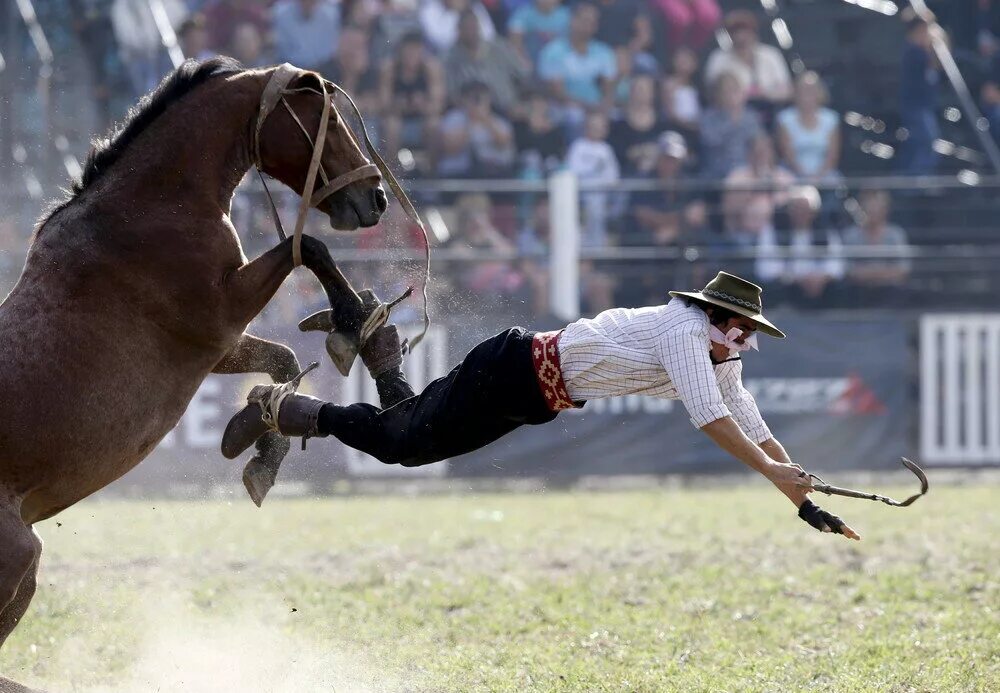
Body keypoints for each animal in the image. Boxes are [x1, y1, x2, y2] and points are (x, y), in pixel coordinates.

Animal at [0, 56, 384, 688]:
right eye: (324, 120)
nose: (374, 196)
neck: (149, 207)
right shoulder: (219, 314)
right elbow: (308, 248)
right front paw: (352, 321)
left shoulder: (217, 347)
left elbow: (280, 361)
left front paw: (257, 448)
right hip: (17, 559)